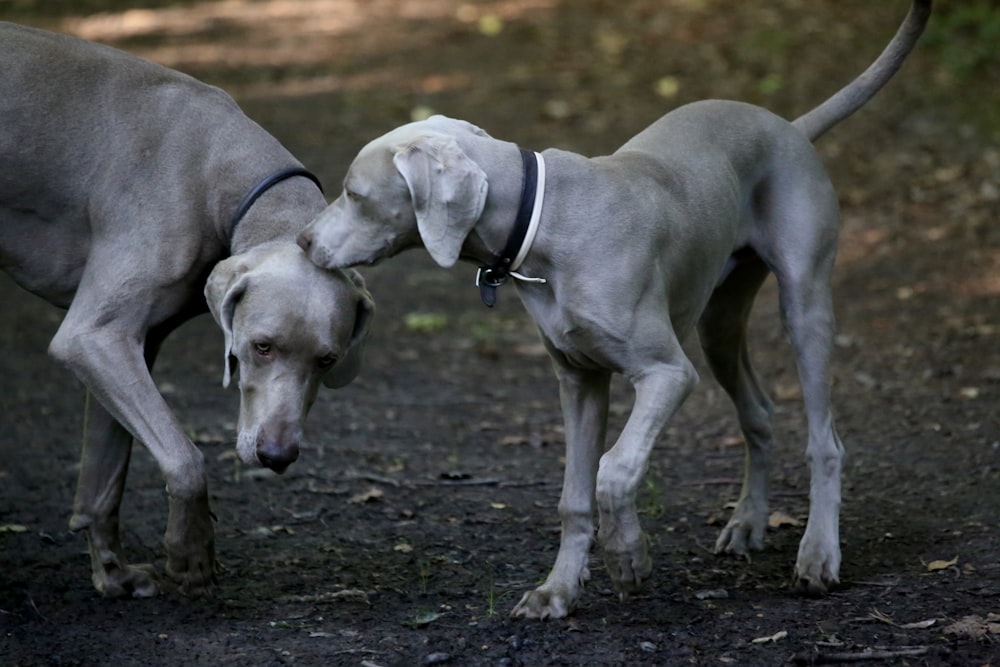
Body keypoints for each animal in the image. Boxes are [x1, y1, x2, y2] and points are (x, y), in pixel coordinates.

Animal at [0, 23, 376, 596]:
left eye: (328, 361)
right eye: (260, 348)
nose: (277, 457)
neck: (219, 167)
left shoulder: (132, 347)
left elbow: (105, 478)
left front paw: (114, 574)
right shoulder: (94, 338)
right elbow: (186, 457)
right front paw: (190, 551)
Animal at [294, 0, 928, 620]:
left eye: (354, 193)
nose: (302, 240)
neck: (545, 218)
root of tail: (788, 127)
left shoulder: (667, 374)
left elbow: (615, 470)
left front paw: (629, 560)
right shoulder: (579, 378)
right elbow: (574, 496)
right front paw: (557, 590)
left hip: (804, 303)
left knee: (825, 441)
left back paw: (818, 555)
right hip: (718, 322)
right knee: (759, 410)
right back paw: (748, 523)